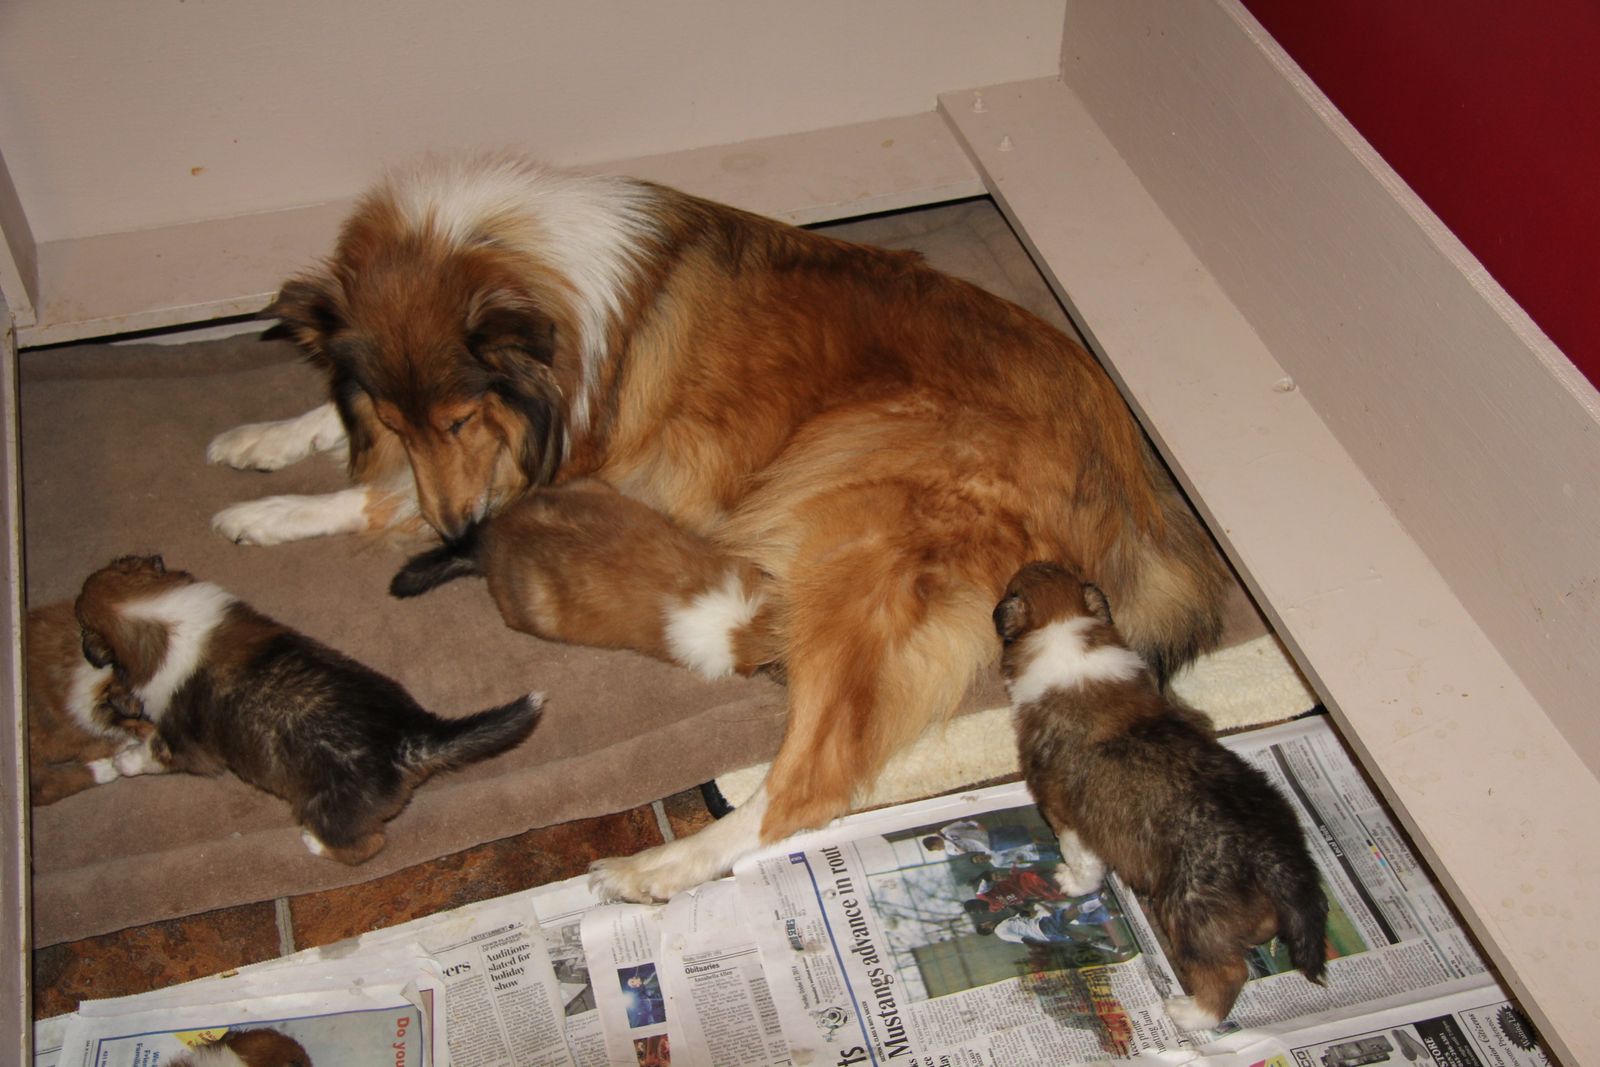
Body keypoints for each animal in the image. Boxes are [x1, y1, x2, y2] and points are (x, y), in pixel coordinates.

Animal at [74, 554, 543, 864]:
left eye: (80, 622)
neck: (152, 616)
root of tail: (411, 737)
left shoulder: (185, 746)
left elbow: (150, 753)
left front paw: (122, 759)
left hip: (325, 806)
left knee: (366, 845)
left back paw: (314, 843)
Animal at [208, 152, 1229, 898]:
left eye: (462, 419)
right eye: (397, 413)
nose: (462, 526)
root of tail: (1123, 462)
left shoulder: (546, 454)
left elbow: (380, 495)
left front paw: (268, 512)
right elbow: (342, 433)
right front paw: (261, 440)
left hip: (850, 515)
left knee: (809, 783)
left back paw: (655, 867)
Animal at [994, 561, 1327, 1030]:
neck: (1065, 624)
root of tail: (1275, 853)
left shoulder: (1063, 812)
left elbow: (1082, 859)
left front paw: (1070, 881)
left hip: (1189, 910)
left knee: (1228, 972)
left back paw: (1189, 1014)